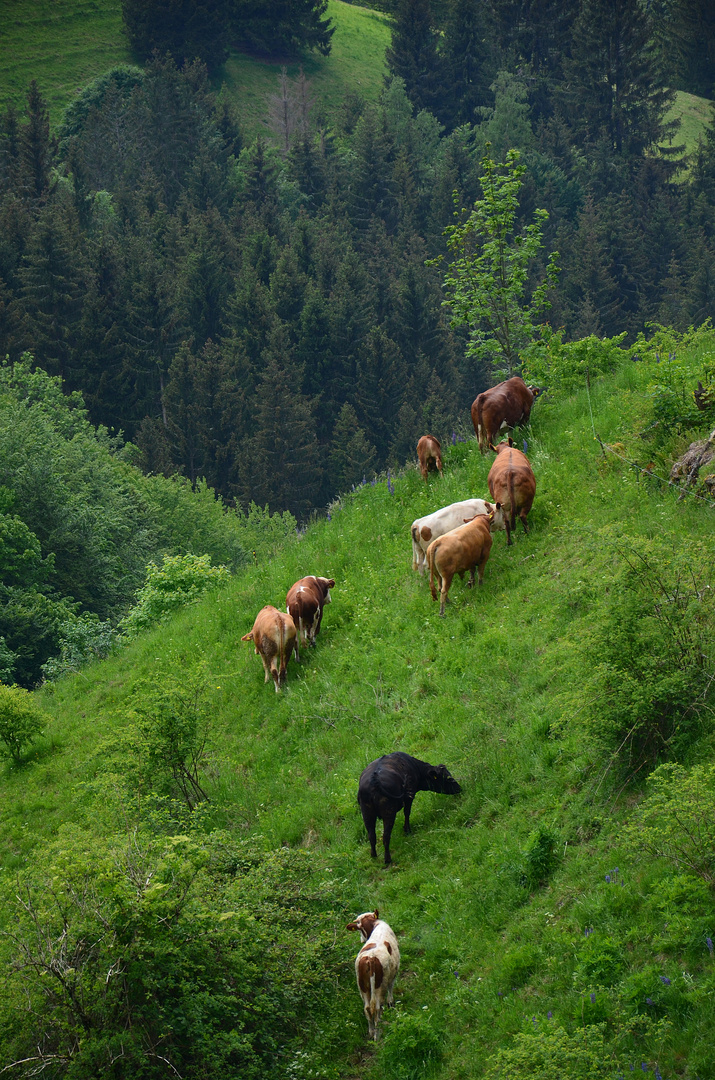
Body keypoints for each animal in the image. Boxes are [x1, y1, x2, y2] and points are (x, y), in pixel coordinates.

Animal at [347, 907, 403, 1041]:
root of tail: (370, 958)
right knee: (377, 1008)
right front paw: (391, 1003)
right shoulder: (395, 969)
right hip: (379, 986)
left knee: (367, 1009)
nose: (361, 939)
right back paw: (378, 1035)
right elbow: (391, 987)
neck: (375, 924)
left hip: (362, 986)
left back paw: (371, 1032)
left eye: (359, 929)